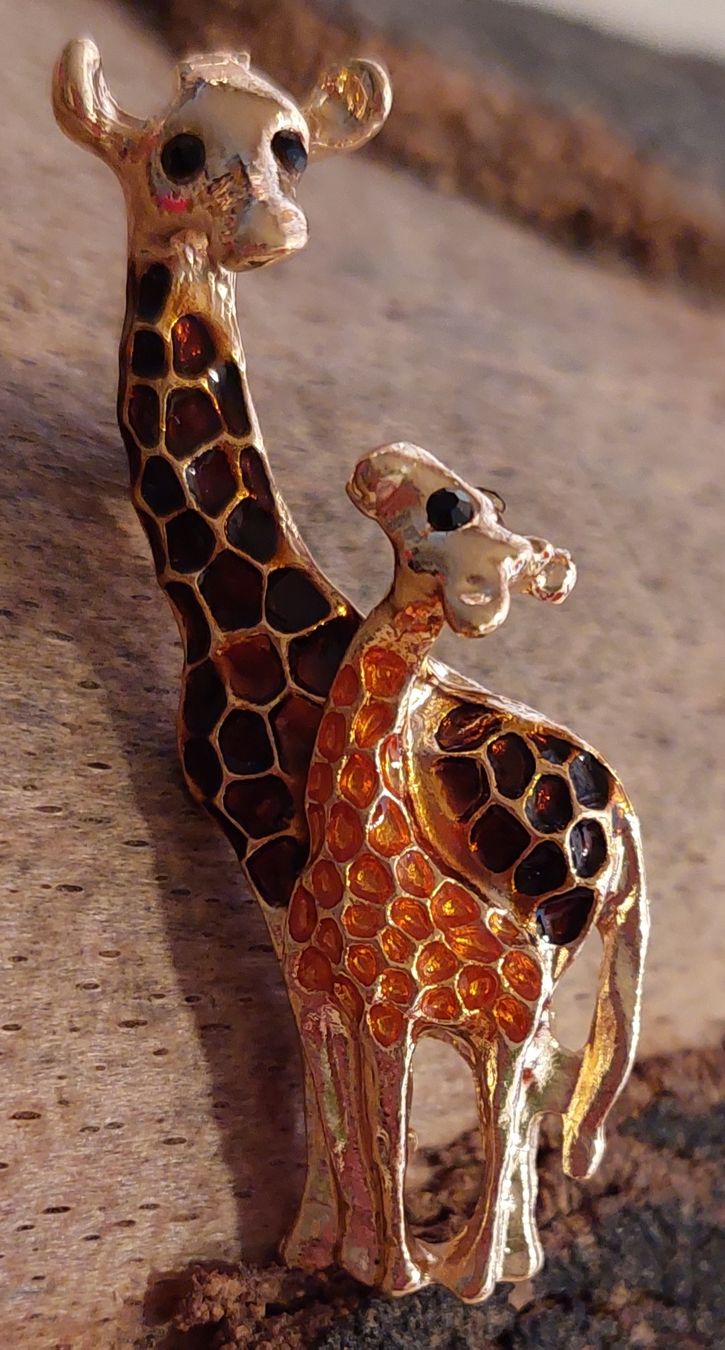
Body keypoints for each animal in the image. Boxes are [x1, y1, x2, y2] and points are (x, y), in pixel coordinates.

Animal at [283, 443, 648, 1300]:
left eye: (448, 507)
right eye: (476, 500)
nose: (375, 466)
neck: (349, 834)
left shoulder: (389, 1013)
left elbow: (389, 1143)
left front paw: (395, 1274)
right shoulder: (312, 992)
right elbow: (334, 1127)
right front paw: (323, 1251)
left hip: (507, 1028)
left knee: (514, 1117)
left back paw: (476, 1272)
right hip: (505, 1030)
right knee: (540, 1093)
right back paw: (505, 1260)